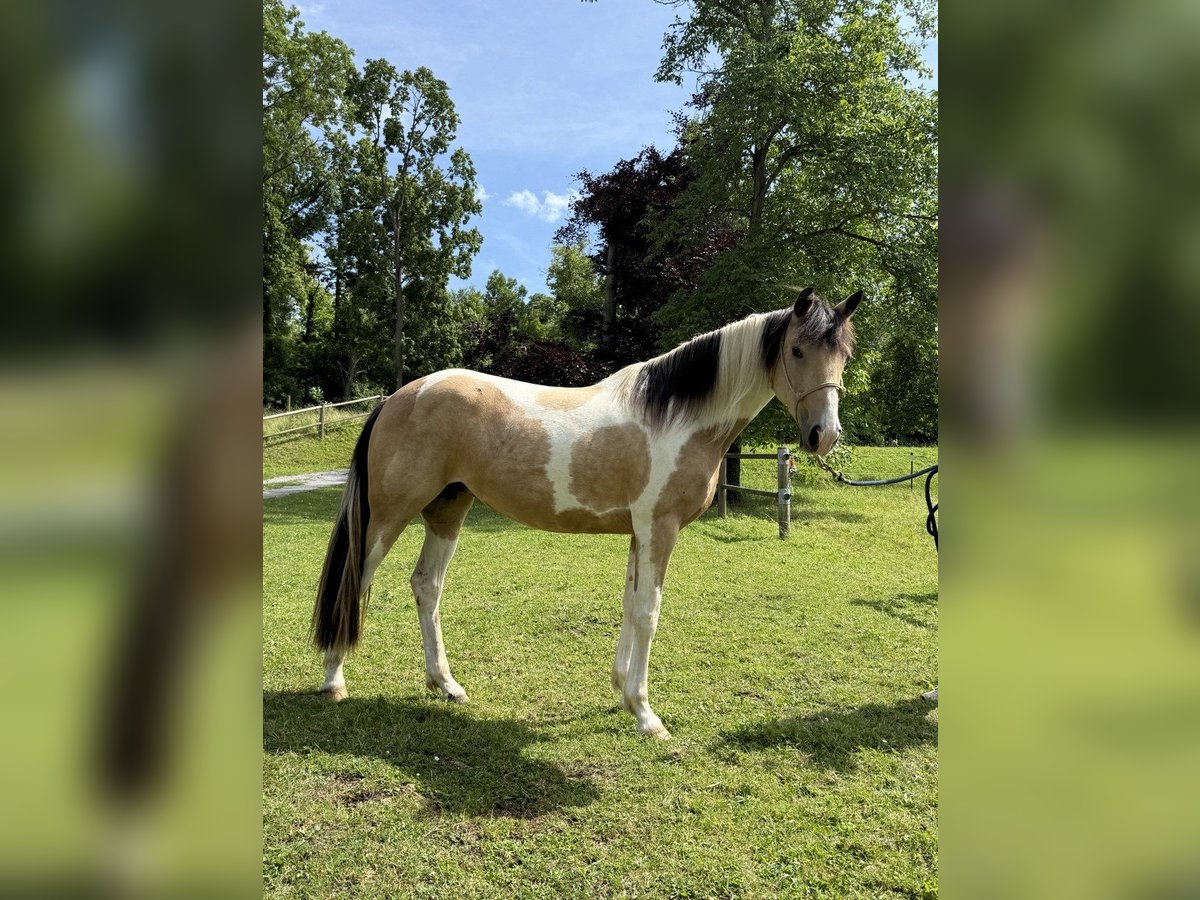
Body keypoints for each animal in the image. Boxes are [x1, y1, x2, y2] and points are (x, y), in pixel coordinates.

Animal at [311, 286, 862, 739]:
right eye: (797, 350)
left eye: (843, 354)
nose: (824, 435)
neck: (677, 418)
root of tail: (397, 398)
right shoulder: (658, 528)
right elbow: (648, 612)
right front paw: (646, 715)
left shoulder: (640, 532)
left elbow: (630, 604)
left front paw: (623, 693)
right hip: (389, 516)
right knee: (355, 579)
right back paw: (335, 679)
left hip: (447, 511)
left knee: (427, 586)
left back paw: (446, 684)